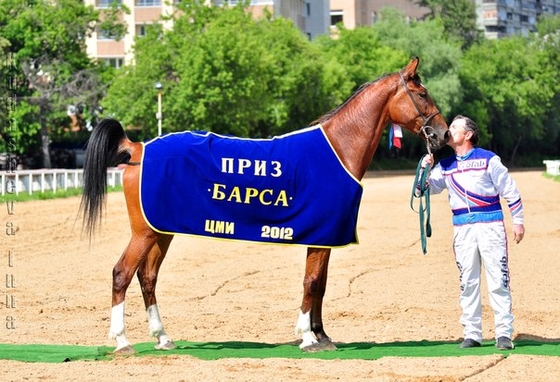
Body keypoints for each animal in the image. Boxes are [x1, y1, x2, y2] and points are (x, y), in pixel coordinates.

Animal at [81, 57, 448, 356]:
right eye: (422, 93)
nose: (444, 134)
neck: (338, 148)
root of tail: (138, 148)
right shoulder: (322, 234)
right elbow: (311, 282)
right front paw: (308, 338)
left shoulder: (326, 236)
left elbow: (321, 283)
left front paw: (322, 336)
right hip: (143, 233)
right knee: (121, 273)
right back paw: (123, 342)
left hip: (161, 231)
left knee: (148, 276)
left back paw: (162, 337)